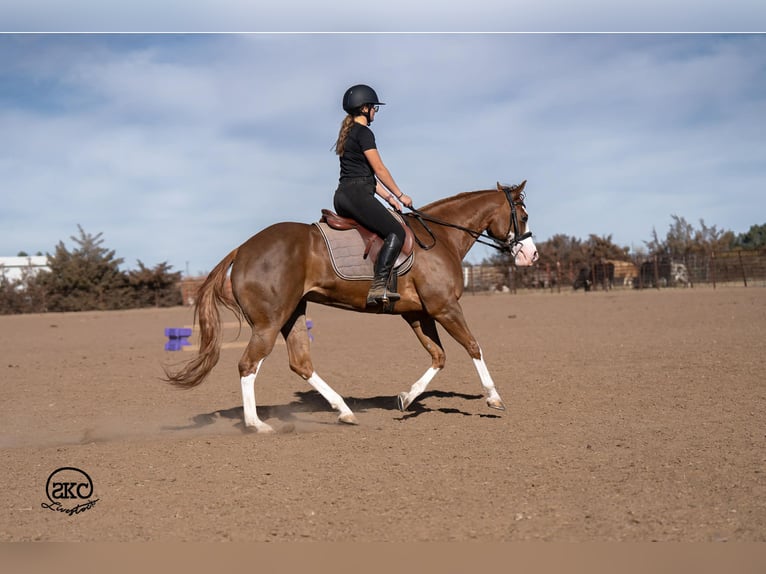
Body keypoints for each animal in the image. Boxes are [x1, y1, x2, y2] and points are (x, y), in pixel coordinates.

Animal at [164, 181, 538, 433]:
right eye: (522, 215)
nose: (530, 255)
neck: (440, 238)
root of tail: (242, 249)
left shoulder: (418, 314)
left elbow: (439, 356)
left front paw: (405, 399)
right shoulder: (444, 307)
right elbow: (473, 346)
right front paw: (493, 398)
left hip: (292, 314)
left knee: (300, 363)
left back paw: (343, 410)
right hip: (269, 322)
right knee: (248, 365)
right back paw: (257, 424)